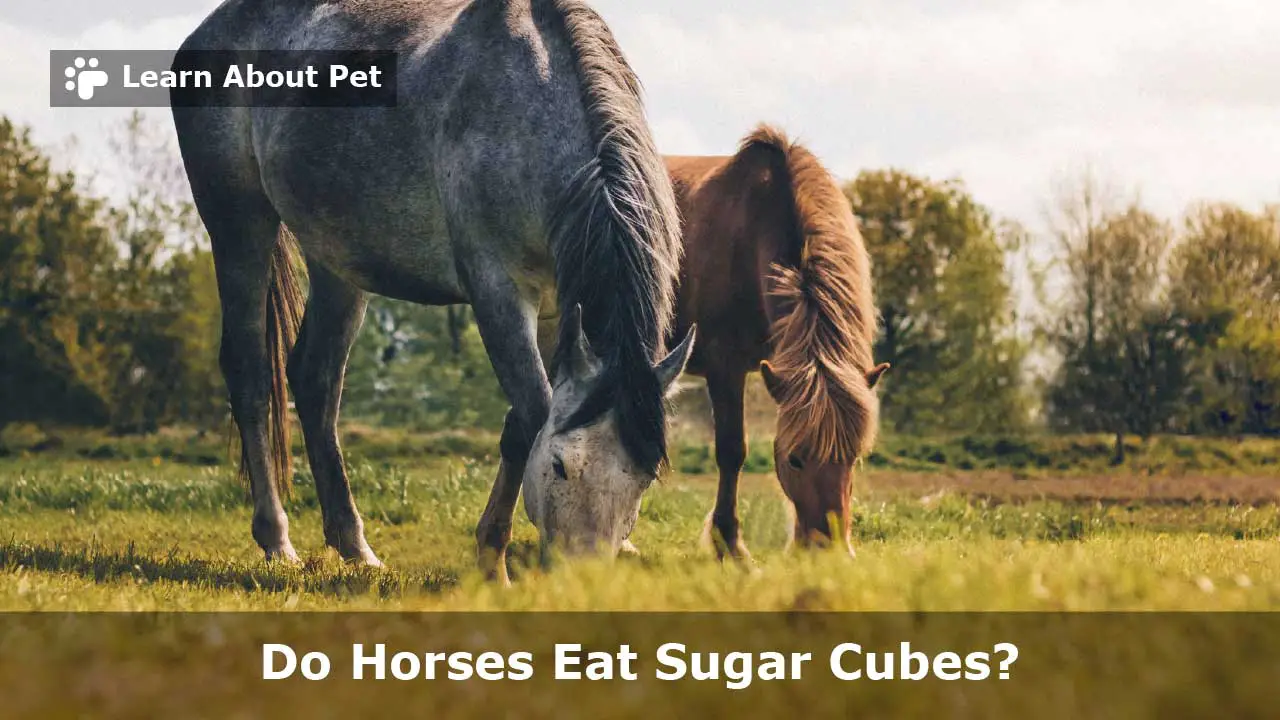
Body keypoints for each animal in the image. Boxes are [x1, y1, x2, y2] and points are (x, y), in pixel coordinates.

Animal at [171, 0, 695, 583]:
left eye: (643, 478)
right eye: (560, 466)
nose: (581, 578)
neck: (533, 109)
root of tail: (211, 30)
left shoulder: (560, 309)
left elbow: (521, 421)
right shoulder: (497, 291)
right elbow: (532, 413)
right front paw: (493, 561)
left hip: (338, 261)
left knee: (315, 380)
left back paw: (354, 546)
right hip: (240, 223)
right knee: (250, 372)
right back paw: (277, 539)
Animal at [666, 126, 889, 559]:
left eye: (853, 458)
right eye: (795, 460)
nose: (828, 550)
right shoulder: (725, 367)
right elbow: (732, 452)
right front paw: (730, 546)